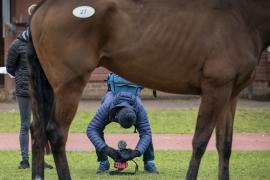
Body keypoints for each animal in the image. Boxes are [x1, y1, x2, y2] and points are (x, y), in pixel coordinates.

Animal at [28, 0, 270, 180]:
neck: (240, 18)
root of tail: (43, 6)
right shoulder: (215, 90)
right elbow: (200, 142)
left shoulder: (230, 95)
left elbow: (224, 145)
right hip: (69, 86)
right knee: (56, 133)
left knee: (37, 130)